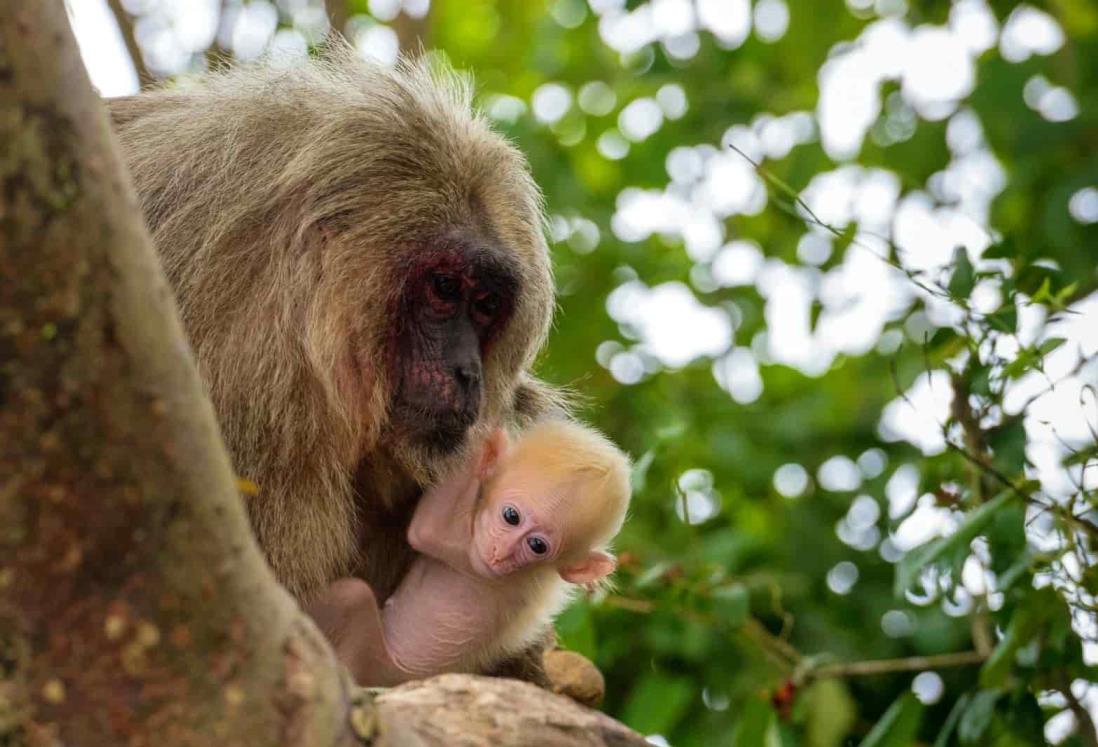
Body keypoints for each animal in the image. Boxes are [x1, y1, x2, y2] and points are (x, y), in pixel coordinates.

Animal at [311, 419, 636, 681]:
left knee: (352, 596)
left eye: (538, 546)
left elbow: (426, 532)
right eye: (511, 516)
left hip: (369, 661)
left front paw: (481, 443)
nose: (501, 553)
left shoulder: (478, 561)